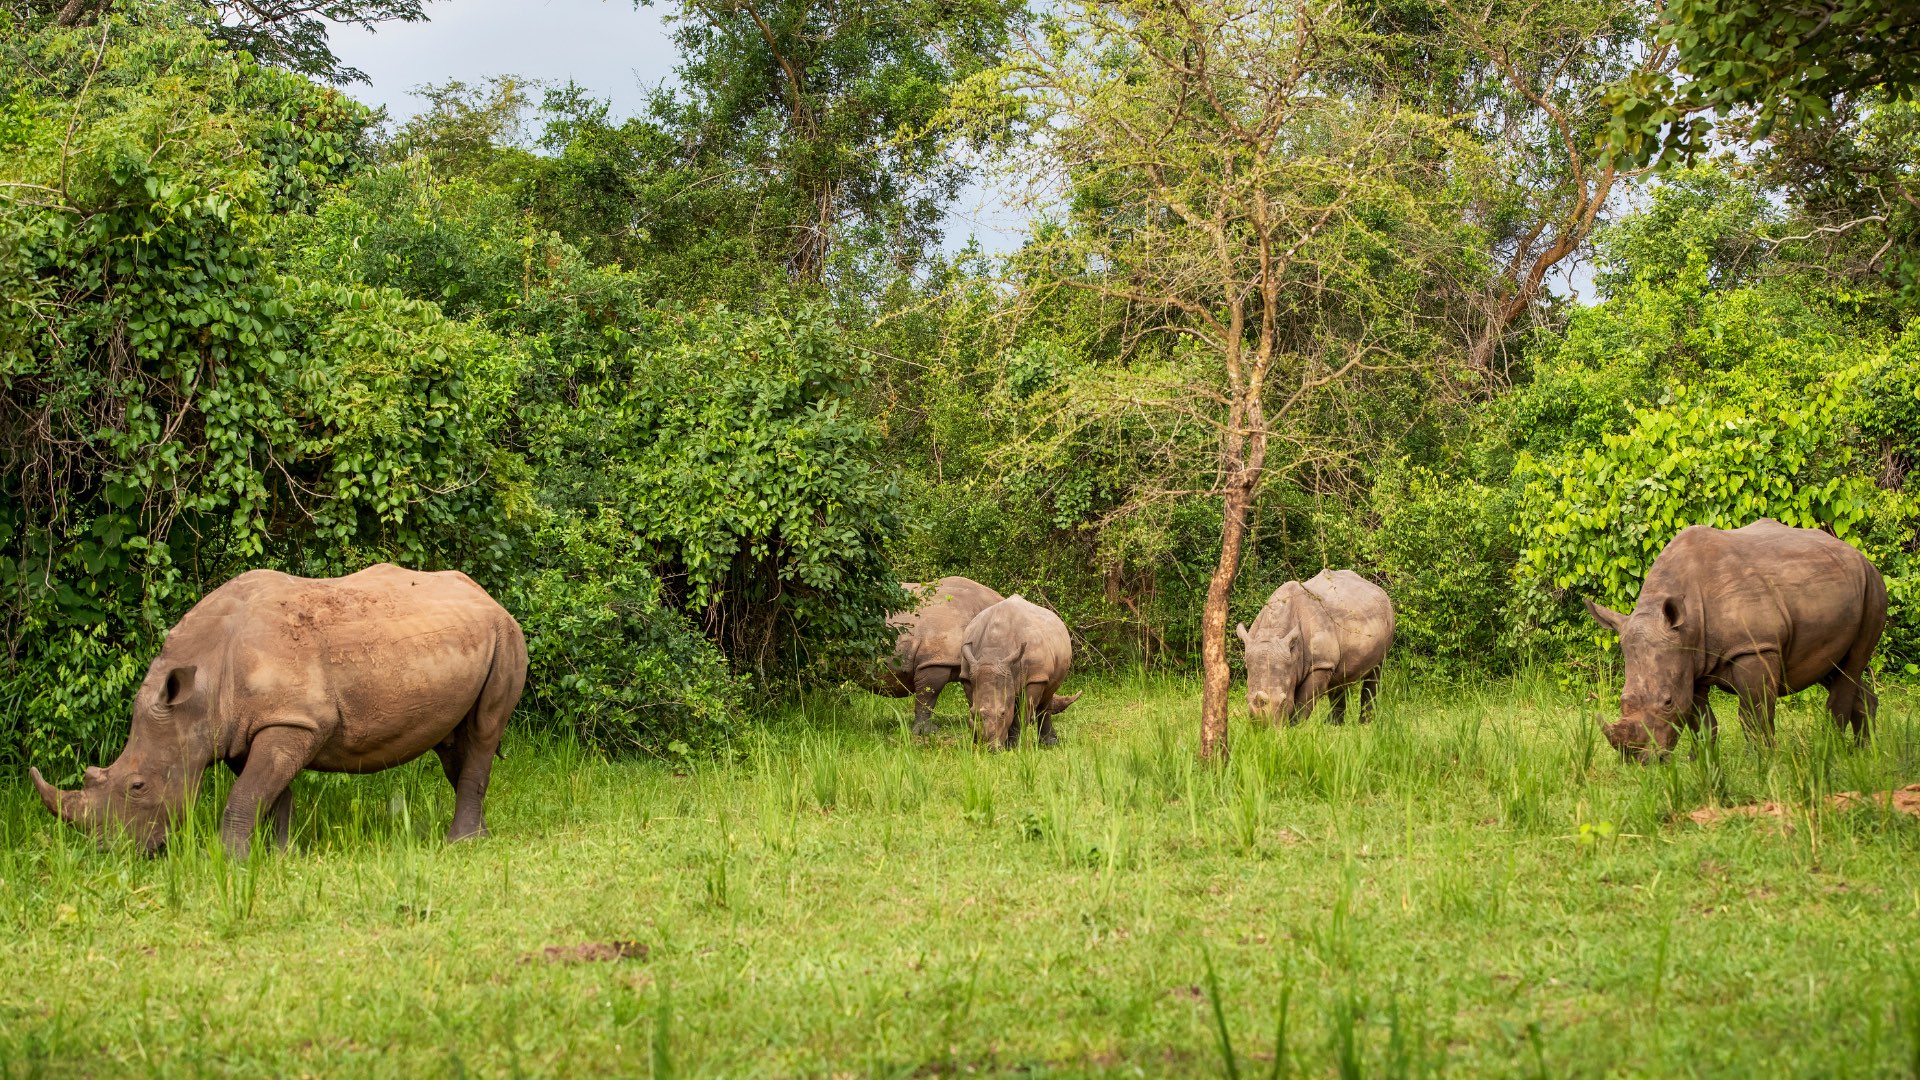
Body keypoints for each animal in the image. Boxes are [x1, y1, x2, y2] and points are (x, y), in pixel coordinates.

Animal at [29, 564, 527, 857]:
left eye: (138, 786)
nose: (110, 854)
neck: (199, 693)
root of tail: (490, 598)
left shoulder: (293, 721)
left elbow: (247, 794)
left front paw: (226, 860)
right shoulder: (245, 728)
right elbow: (270, 793)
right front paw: (278, 856)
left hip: (507, 636)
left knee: (483, 732)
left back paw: (460, 844)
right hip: (464, 640)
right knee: (454, 744)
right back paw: (479, 836)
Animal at [959, 595, 1079, 749]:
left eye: (1003, 713)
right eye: (973, 713)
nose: (991, 749)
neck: (993, 654)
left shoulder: (1035, 678)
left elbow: (1021, 713)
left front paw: (1014, 746)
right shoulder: (968, 677)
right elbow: (973, 703)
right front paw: (976, 743)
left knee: (1046, 698)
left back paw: (1049, 744)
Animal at [1236, 569, 1394, 725]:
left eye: (1283, 701)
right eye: (1245, 699)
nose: (1263, 728)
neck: (1272, 633)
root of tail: (1378, 589)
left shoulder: (1320, 663)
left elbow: (1304, 701)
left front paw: (1295, 727)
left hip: (1384, 618)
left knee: (1375, 671)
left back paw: (1365, 725)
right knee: (1339, 678)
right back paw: (1334, 726)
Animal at [1582, 519, 1886, 762]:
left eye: (1667, 702)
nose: (1639, 761)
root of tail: (1858, 554)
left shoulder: (1754, 648)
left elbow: (1754, 714)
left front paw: (1761, 762)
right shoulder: (1688, 660)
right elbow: (1700, 720)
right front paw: (1698, 761)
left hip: (1873, 586)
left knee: (1852, 664)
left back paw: (1831, 750)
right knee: (1831, 668)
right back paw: (1864, 753)